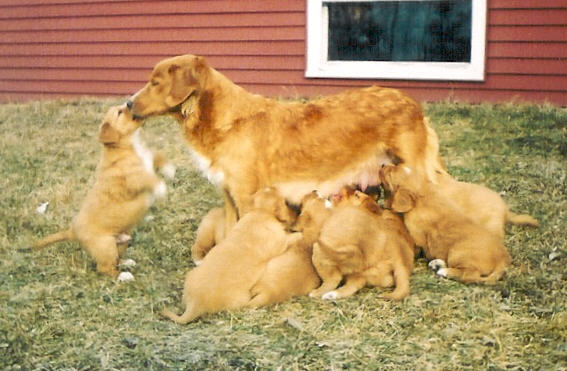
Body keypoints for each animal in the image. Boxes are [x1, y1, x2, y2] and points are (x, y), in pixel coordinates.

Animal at [28, 104, 174, 282]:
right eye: (120, 112)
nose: (129, 102)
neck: (129, 145)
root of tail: (73, 230)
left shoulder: (148, 159)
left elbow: (157, 157)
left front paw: (169, 169)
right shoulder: (133, 178)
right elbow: (149, 178)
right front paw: (161, 188)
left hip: (122, 241)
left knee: (116, 260)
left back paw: (126, 262)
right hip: (106, 246)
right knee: (105, 269)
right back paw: (124, 276)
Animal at [126, 53, 446, 234]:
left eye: (155, 83)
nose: (128, 103)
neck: (223, 119)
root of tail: (414, 105)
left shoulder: (246, 196)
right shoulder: (228, 195)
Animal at [163, 187, 320, 324]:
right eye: (286, 203)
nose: (297, 210)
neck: (260, 213)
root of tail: (195, 304)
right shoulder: (281, 241)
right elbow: (291, 237)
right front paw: (300, 234)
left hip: (190, 276)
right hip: (241, 297)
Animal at [382, 166, 510, 284]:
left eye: (390, 173)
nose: (382, 165)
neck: (424, 194)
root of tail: (503, 259)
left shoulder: (417, 237)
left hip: (458, 253)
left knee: (469, 275)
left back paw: (444, 271)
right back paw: (437, 263)